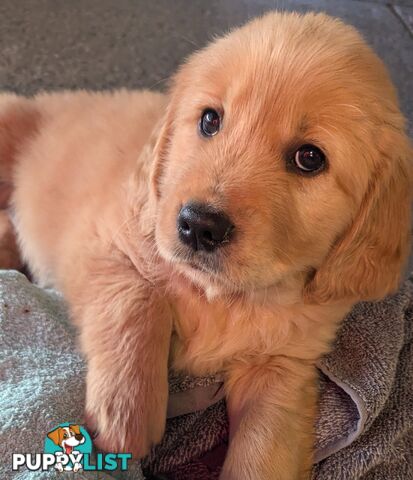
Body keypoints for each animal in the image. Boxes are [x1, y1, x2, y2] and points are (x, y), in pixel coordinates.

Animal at [0, 12, 412, 480]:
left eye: (310, 158)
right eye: (210, 120)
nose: (198, 225)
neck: (222, 296)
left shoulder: (282, 366)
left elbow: (263, 449)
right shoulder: (108, 242)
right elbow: (136, 301)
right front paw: (124, 419)